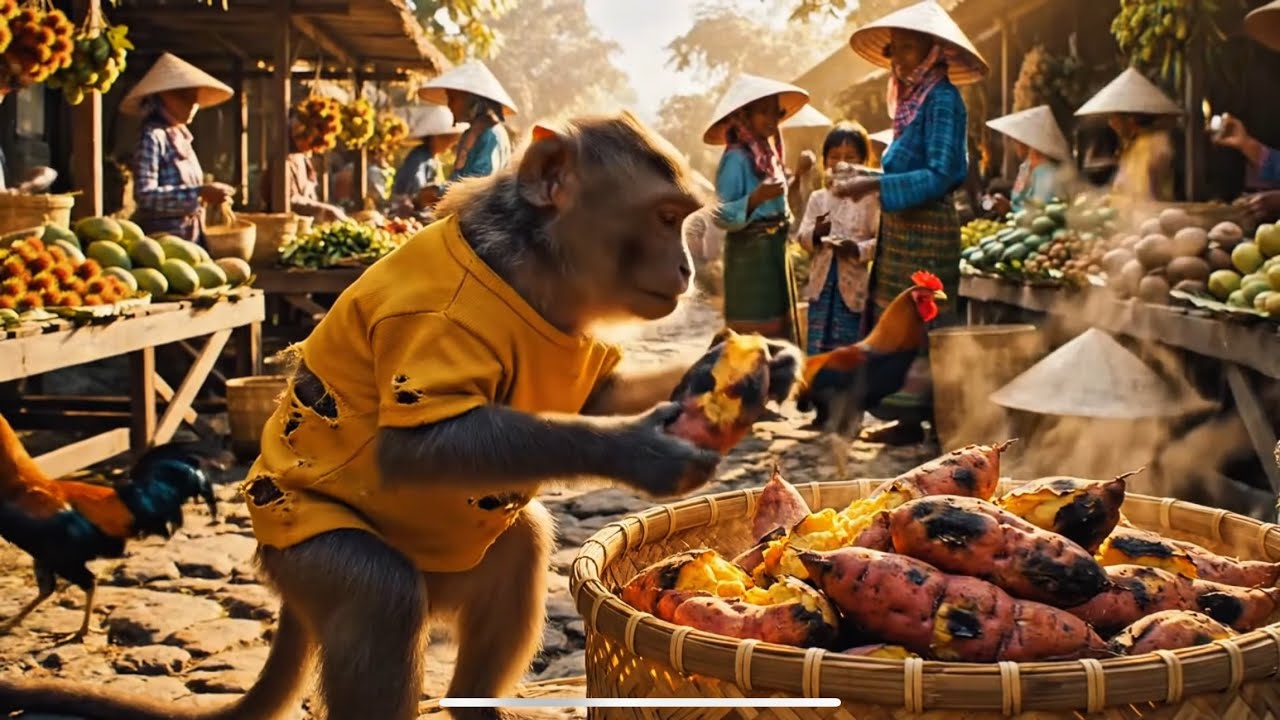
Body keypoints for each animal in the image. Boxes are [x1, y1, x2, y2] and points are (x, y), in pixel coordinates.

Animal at [0, 111, 803, 720]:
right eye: (665, 219)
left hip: (449, 566)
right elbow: (416, 451)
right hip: (309, 558)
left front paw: (752, 365)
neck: (527, 272)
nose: (688, 269)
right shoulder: (432, 321)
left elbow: (597, 393)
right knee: (380, 597)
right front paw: (643, 451)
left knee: (519, 549)